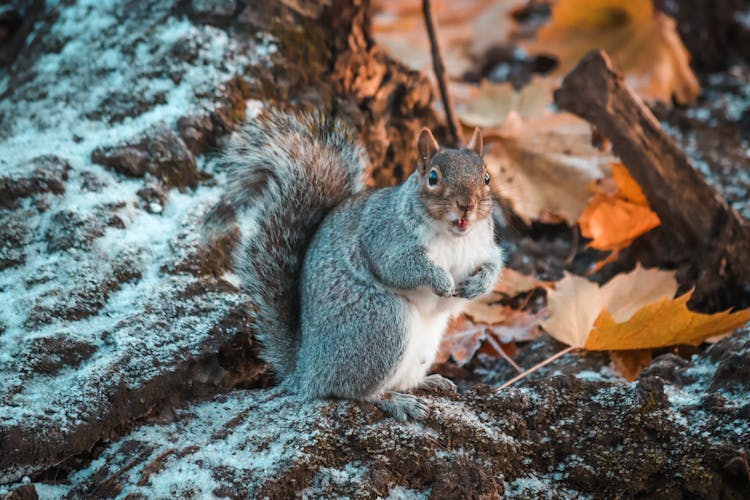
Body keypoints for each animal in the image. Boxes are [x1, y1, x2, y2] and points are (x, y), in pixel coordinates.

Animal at [207, 111, 506, 420]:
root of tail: (305, 371)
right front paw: (441, 280)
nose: (467, 204)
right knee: (354, 391)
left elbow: (494, 264)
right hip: (380, 325)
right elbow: (401, 266)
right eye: (433, 177)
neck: (454, 236)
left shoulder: (483, 246)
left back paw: (429, 382)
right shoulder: (384, 238)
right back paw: (397, 401)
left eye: (486, 177)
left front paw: (479, 284)